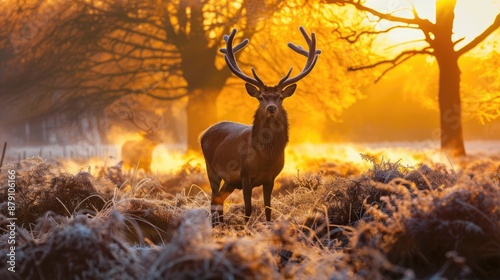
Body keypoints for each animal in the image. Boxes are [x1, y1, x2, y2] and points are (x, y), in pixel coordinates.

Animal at [199, 26, 320, 228]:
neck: (266, 157)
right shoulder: (245, 175)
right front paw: (246, 229)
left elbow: (268, 209)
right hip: (211, 169)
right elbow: (248, 209)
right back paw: (216, 227)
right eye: (261, 97)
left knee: (218, 199)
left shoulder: (271, 178)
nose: (271, 108)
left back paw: (221, 226)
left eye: (280, 97)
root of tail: (203, 133)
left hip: (229, 181)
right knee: (214, 198)